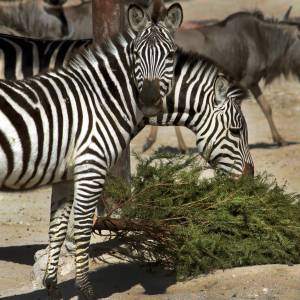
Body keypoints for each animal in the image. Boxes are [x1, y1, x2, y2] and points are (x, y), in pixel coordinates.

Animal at [0, 2, 183, 300]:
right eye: (136, 55)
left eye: (169, 55)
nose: (149, 99)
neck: (102, 100)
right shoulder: (91, 167)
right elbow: (84, 228)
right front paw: (85, 291)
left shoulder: (64, 175)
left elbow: (57, 229)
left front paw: (52, 287)